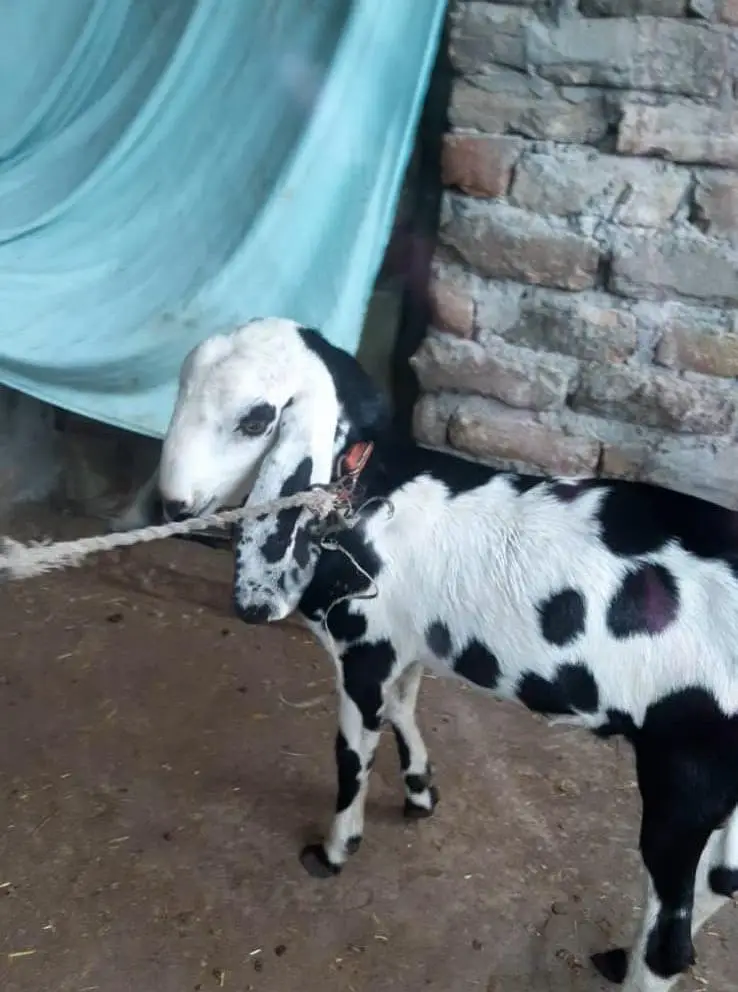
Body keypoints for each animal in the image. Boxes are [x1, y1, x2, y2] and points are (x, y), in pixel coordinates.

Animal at [158, 317, 738, 992]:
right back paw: (622, 956)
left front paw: (335, 849)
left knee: (672, 940)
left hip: (686, 776)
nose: (172, 505)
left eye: (256, 419)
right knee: (720, 882)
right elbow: (405, 708)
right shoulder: (405, 645)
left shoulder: (363, 653)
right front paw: (419, 791)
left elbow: (352, 756)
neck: (369, 494)